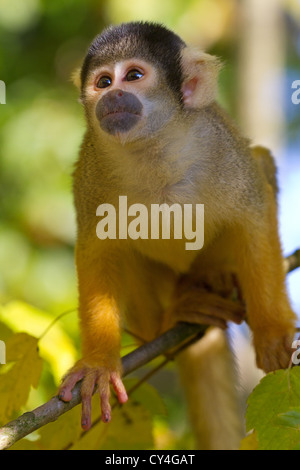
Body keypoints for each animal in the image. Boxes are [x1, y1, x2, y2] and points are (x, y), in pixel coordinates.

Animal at [58, 21, 296, 448]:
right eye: (103, 82)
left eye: (134, 76)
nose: (113, 95)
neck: (152, 150)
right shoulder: (91, 172)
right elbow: (98, 249)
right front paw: (99, 363)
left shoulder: (221, 150)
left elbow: (253, 213)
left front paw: (273, 333)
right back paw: (168, 320)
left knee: (261, 163)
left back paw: (216, 276)